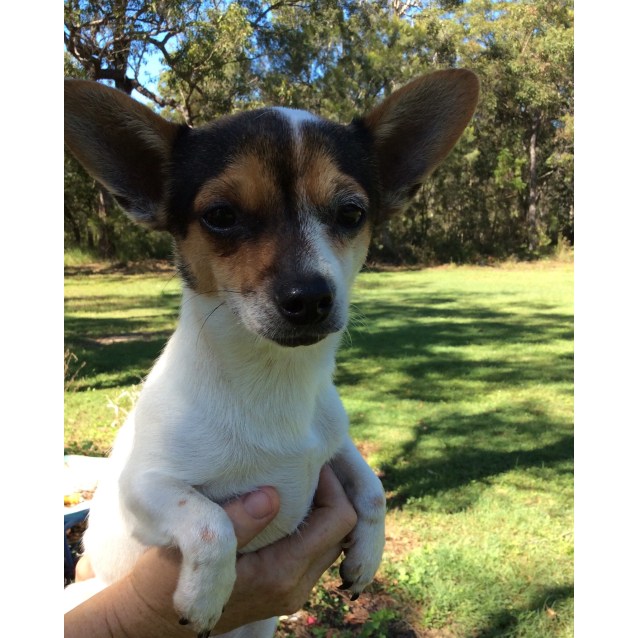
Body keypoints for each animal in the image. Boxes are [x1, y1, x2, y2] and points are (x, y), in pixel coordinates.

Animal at [65, 67, 480, 636]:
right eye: (220, 215)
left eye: (351, 213)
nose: (309, 297)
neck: (272, 378)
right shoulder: (143, 488)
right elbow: (212, 522)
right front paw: (202, 596)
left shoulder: (334, 443)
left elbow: (371, 485)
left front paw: (367, 555)